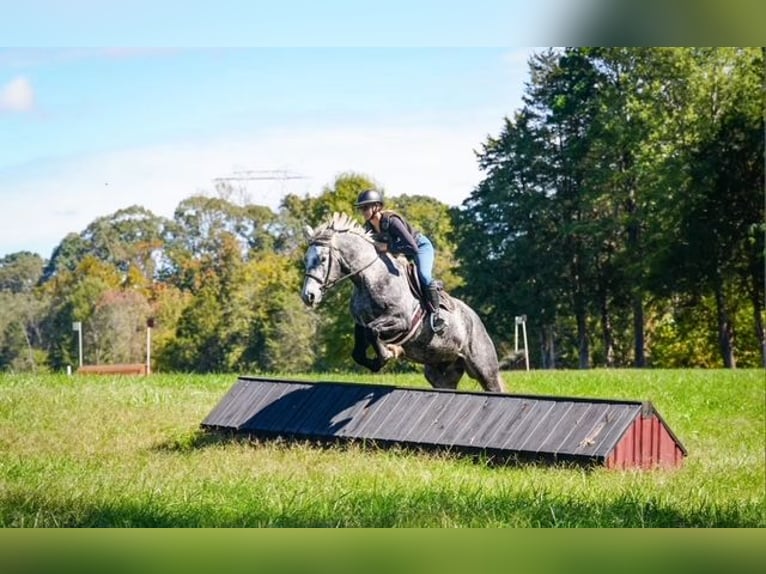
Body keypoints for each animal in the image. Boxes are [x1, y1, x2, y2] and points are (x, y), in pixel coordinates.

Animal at [300, 212, 507, 393]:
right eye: (305, 259)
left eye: (322, 259)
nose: (308, 296)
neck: (370, 278)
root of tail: (476, 319)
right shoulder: (360, 324)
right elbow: (359, 350)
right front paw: (382, 358)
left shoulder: (401, 321)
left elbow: (373, 331)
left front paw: (388, 353)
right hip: (441, 371)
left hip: (483, 368)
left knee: (494, 386)